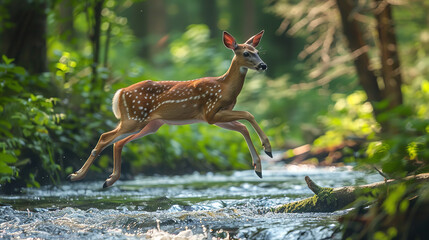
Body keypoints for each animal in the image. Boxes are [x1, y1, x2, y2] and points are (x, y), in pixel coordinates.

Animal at [68, 30, 272, 188]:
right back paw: (78, 176)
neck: (224, 87)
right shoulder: (211, 112)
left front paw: (259, 166)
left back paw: (105, 179)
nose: (263, 65)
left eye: (257, 51)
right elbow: (248, 114)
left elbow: (243, 127)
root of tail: (120, 92)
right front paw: (267, 148)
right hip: (134, 118)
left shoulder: (214, 117)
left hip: (150, 124)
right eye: (246, 53)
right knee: (106, 137)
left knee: (117, 142)